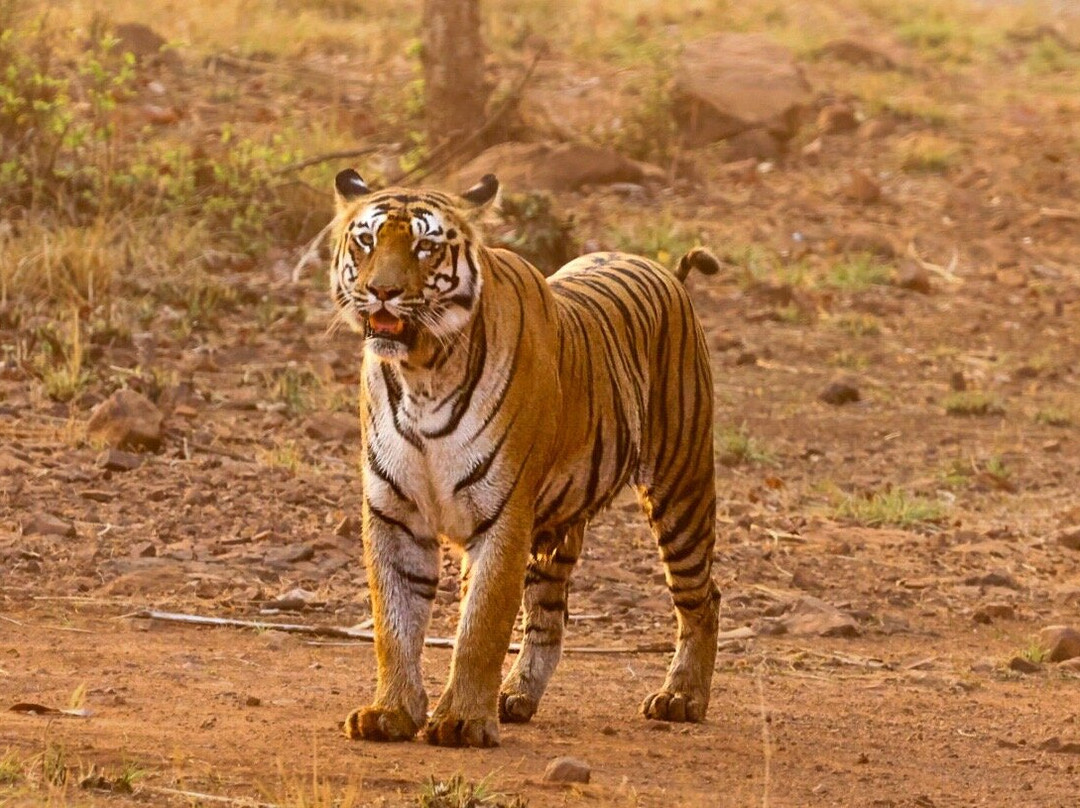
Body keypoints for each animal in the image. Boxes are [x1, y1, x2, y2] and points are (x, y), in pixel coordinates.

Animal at [329, 168, 721, 748]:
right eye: (367, 241)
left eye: (425, 247)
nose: (382, 291)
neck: (422, 370)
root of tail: (666, 272)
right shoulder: (393, 511)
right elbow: (393, 622)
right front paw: (391, 712)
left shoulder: (503, 514)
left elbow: (481, 624)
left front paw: (461, 721)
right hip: (558, 527)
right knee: (549, 616)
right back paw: (516, 695)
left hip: (680, 488)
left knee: (702, 596)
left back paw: (682, 697)